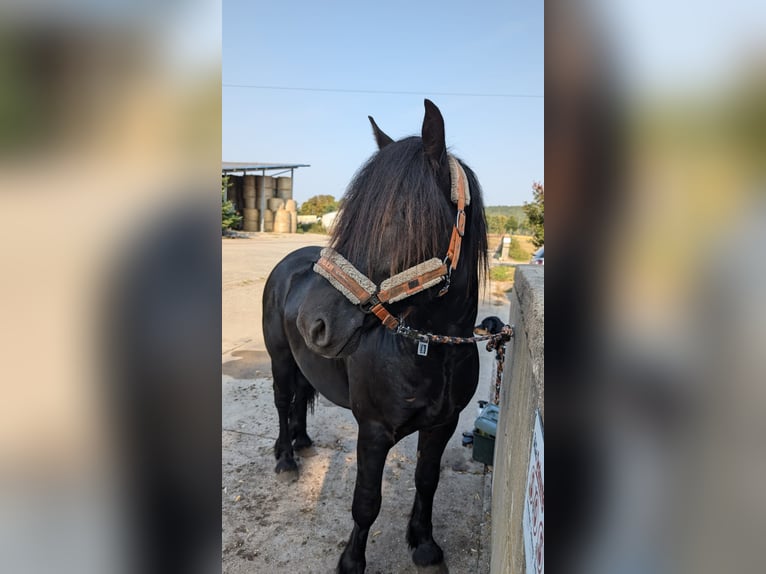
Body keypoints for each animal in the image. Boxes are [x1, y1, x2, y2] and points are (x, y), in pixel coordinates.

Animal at [264, 101, 488, 572]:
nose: (313, 323)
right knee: (282, 401)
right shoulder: (373, 432)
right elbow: (366, 502)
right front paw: (352, 562)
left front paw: (424, 544)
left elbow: (426, 481)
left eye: (400, 217)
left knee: (300, 398)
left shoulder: (442, 425)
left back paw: (302, 442)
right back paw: (286, 458)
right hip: (279, 359)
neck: (429, 353)